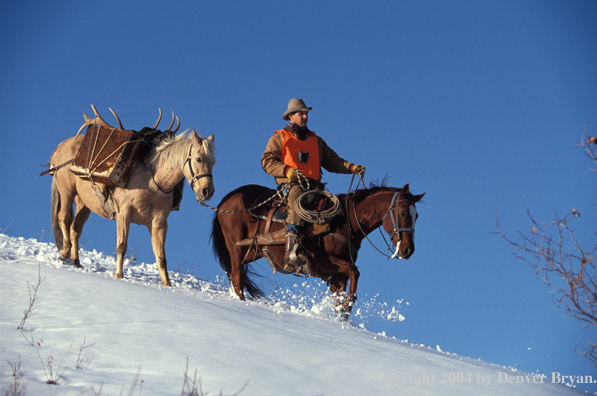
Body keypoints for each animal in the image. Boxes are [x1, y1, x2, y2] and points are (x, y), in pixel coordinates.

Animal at [47, 107, 214, 284]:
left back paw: (77, 262)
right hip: (66, 189)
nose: (207, 191)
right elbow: (121, 245)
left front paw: (167, 284)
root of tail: (60, 146)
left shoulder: (159, 222)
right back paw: (64, 253)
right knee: (63, 218)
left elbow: (161, 256)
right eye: (198, 159)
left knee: (75, 228)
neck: (151, 180)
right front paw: (119, 275)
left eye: (213, 162)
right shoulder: (124, 213)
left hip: (84, 202)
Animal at [210, 182, 424, 316]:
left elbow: (342, 296)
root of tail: (225, 201)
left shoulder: (336, 277)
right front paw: (347, 306)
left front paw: (343, 313)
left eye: (417, 215)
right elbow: (355, 273)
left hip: (251, 251)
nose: (408, 250)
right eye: (403, 212)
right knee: (237, 278)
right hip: (236, 249)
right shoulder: (323, 266)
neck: (345, 223)